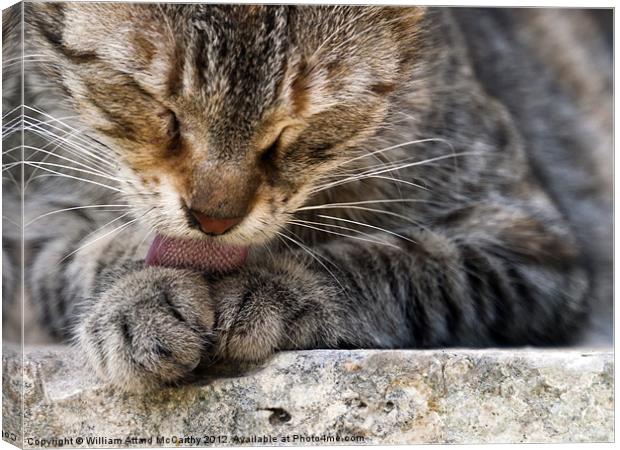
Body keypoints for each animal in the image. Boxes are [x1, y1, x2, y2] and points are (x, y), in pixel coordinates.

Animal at [1, 2, 612, 390]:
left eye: (292, 129)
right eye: (161, 110)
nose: (214, 219)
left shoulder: (531, 244)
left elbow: (397, 264)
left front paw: (268, 288)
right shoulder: (31, 217)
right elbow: (80, 257)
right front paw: (141, 297)